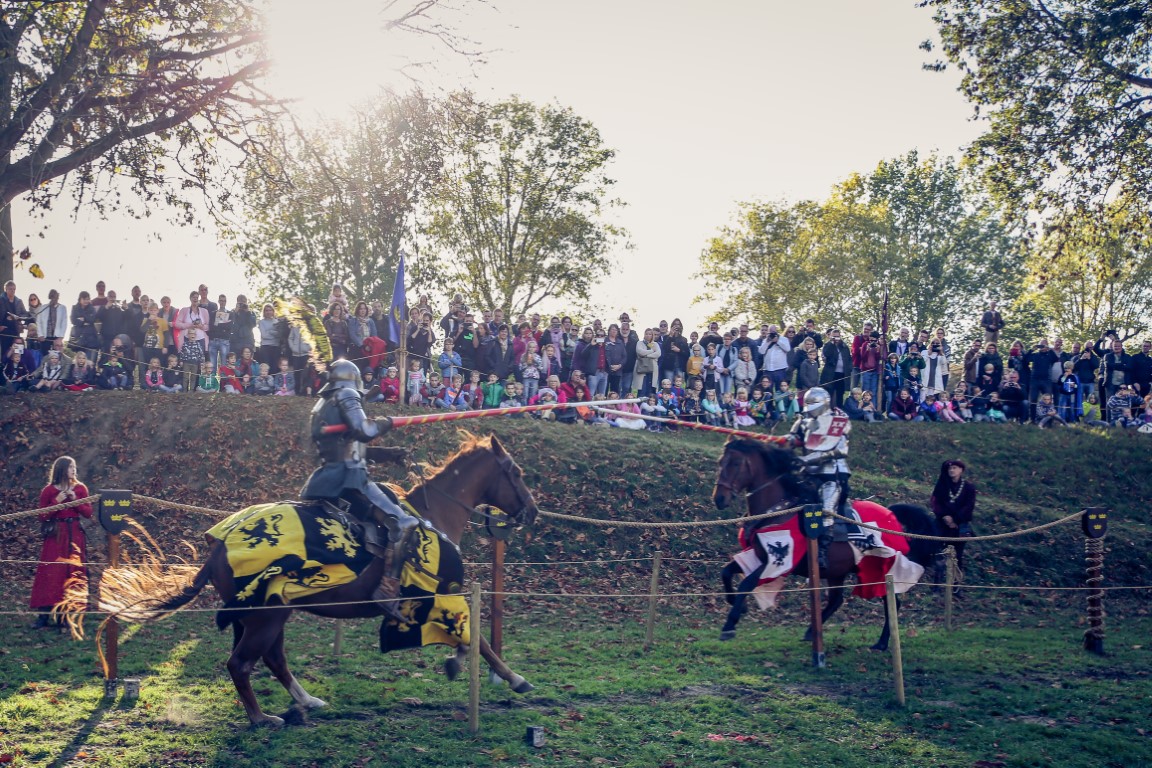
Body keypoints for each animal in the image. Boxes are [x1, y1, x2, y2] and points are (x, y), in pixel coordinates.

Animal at [92, 432, 536, 727]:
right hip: (265, 616)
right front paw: (512, 678)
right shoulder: (442, 596)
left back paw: (305, 701)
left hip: (262, 615)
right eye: (515, 471)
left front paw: (470, 666)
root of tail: (218, 548)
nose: (531, 512)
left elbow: (470, 638)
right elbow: (475, 638)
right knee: (242, 663)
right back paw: (262, 718)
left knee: (271, 658)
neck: (433, 515)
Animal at [709, 442, 935, 654]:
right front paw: (737, 605)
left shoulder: (778, 564)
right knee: (837, 600)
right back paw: (812, 631)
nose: (719, 499)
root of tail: (891, 515)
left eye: (735, 463)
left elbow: (746, 583)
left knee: (891, 601)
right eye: (720, 462)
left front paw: (730, 624)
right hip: (839, 570)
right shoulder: (758, 557)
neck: (778, 511)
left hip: (877, 568)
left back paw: (881, 642)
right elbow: (726, 573)